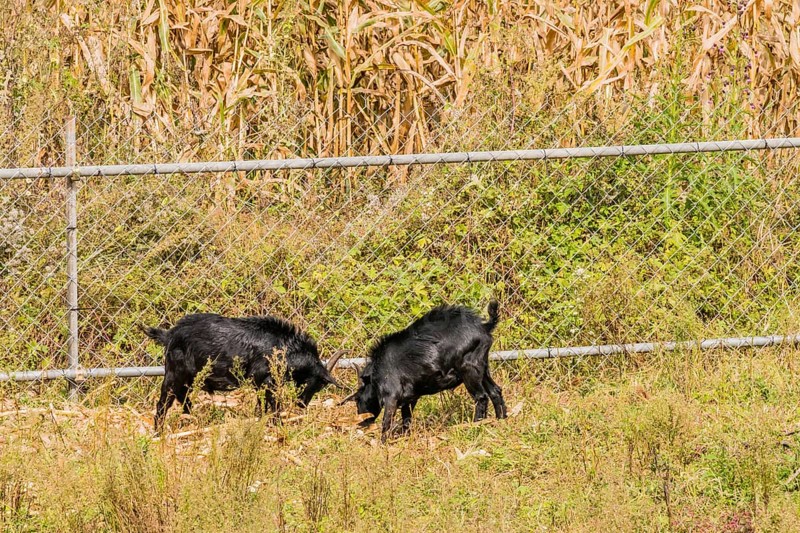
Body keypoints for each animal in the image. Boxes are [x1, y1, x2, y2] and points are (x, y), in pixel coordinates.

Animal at [143, 313, 343, 430]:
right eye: (319, 384)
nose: (302, 404)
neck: (286, 347)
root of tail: (169, 335)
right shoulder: (265, 378)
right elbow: (274, 403)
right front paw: (279, 424)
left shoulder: (261, 383)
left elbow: (262, 404)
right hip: (174, 373)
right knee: (164, 403)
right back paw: (158, 432)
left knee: (182, 397)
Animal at [342, 301, 506, 441]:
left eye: (357, 399)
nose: (361, 420)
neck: (377, 371)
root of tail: (484, 327)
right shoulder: (410, 398)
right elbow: (406, 420)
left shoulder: (391, 397)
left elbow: (386, 424)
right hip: (483, 368)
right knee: (495, 391)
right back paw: (501, 421)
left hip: (469, 369)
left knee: (481, 397)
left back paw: (475, 425)